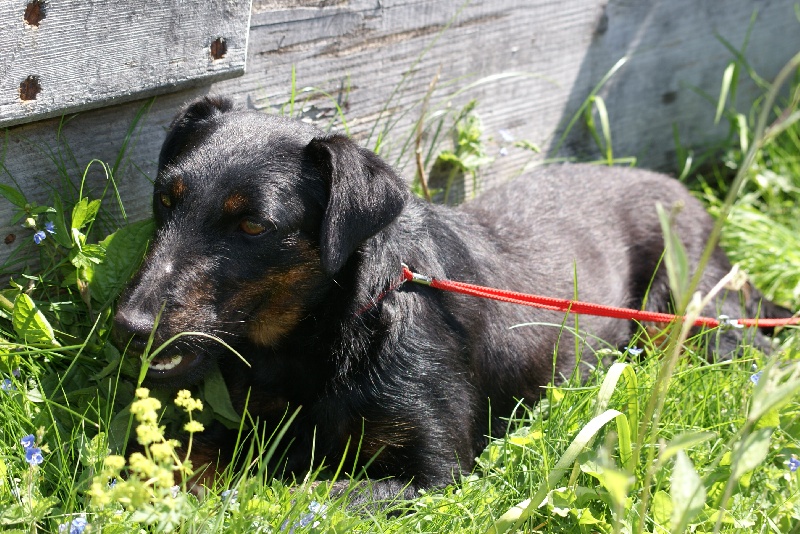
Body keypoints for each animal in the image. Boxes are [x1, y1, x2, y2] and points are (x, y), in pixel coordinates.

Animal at [112, 96, 788, 502]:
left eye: (252, 225)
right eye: (166, 200)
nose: (127, 326)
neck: (333, 332)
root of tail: (692, 199)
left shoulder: (432, 477)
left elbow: (300, 493)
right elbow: (179, 454)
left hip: (692, 318)